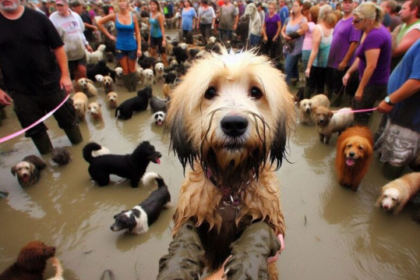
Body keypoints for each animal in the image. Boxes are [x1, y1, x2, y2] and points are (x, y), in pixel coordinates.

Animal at [159, 47, 294, 278]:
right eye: (210, 91)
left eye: (256, 91)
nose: (234, 124)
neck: (231, 185)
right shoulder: (193, 209)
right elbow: (185, 238)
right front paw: (175, 269)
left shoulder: (268, 214)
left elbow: (258, 231)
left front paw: (247, 266)